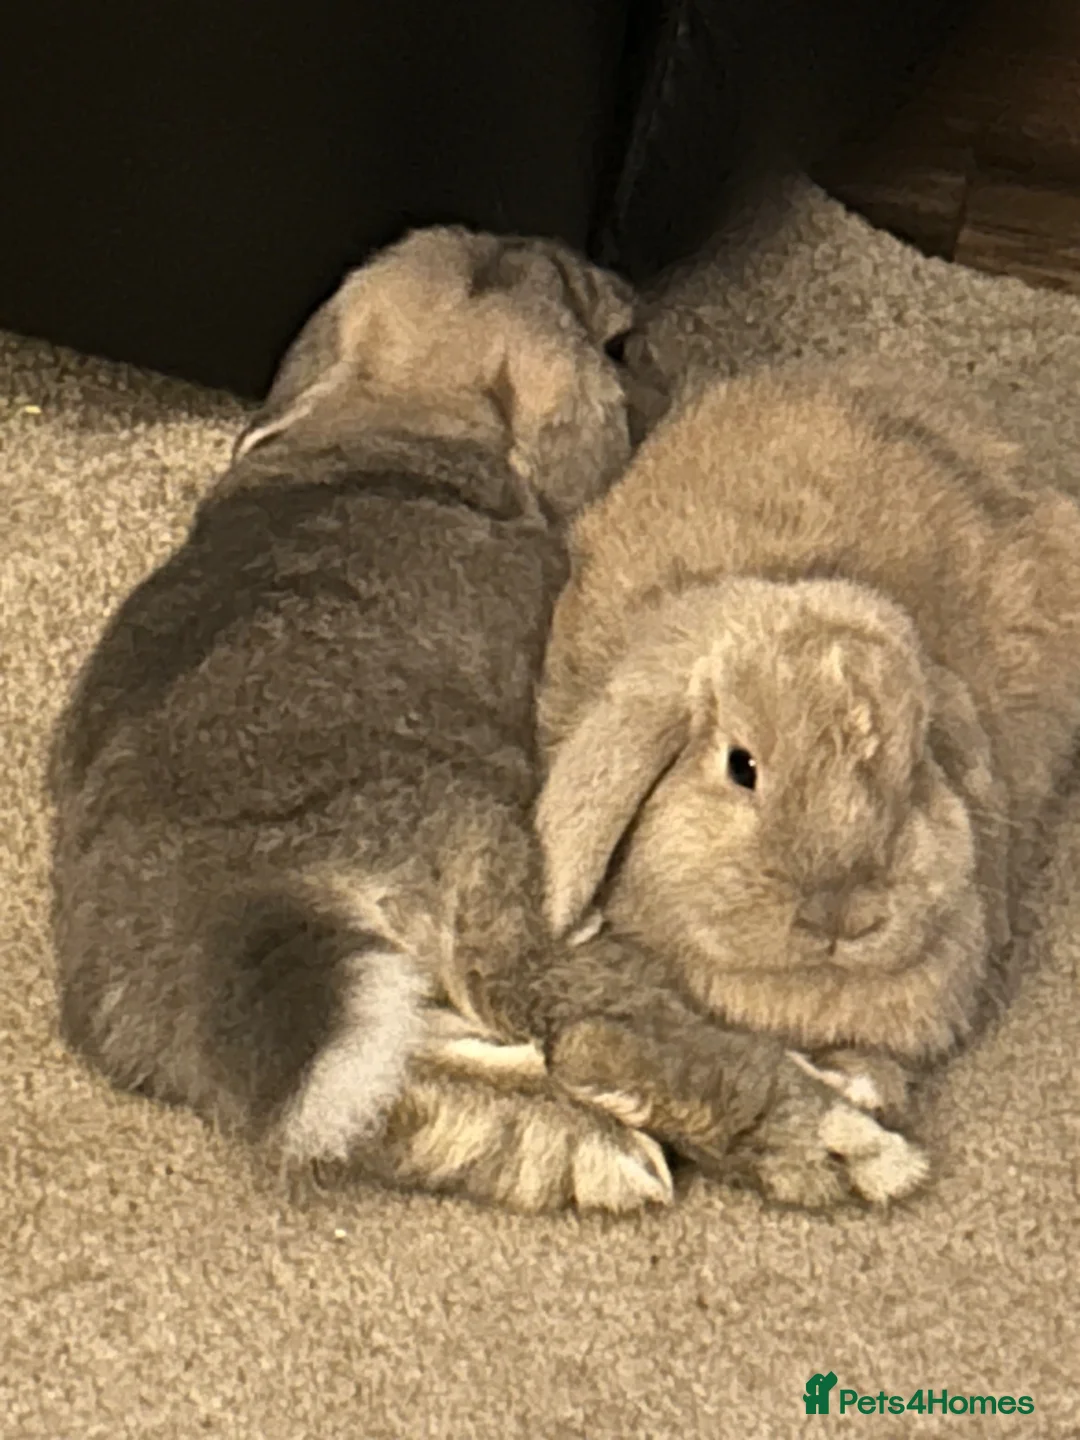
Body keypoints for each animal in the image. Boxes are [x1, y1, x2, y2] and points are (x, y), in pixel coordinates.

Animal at [49, 231, 928, 1216]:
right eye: (616, 341)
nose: (645, 327)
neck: (405, 421)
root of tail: (244, 907)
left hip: (385, 1029)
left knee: (418, 1093)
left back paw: (604, 1154)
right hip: (499, 877)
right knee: (586, 1028)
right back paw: (843, 1124)